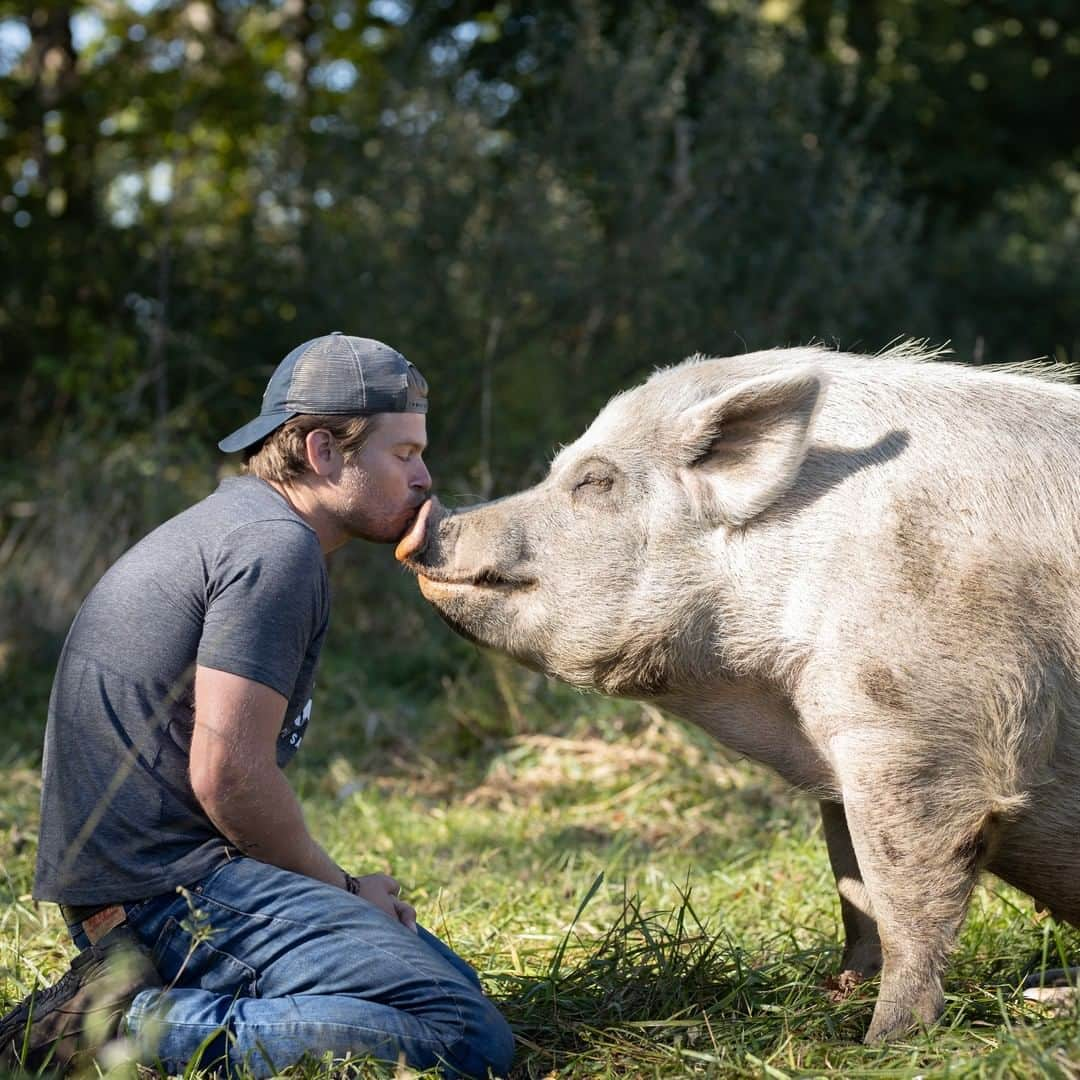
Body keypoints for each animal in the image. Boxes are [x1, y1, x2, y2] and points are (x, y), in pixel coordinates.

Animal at [395, 341, 1080, 1041]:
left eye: (593, 480)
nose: (429, 518)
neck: (770, 696)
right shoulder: (839, 762)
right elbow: (853, 887)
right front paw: (837, 993)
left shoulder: (919, 735)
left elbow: (905, 894)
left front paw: (882, 1039)